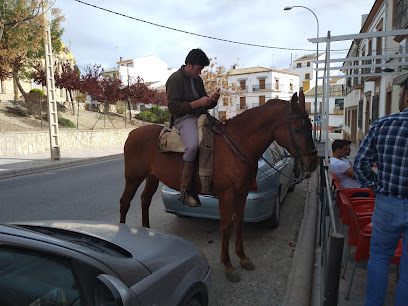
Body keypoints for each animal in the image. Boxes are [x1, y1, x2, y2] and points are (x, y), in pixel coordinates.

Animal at [119, 90, 318, 282]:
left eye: (309, 126)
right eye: (298, 129)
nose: (313, 163)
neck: (237, 145)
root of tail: (132, 134)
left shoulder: (242, 194)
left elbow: (239, 222)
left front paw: (243, 257)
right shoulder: (226, 195)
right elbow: (226, 227)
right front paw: (228, 266)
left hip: (151, 177)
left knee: (145, 200)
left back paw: (145, 230)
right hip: (132, 178)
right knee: (125, 202)